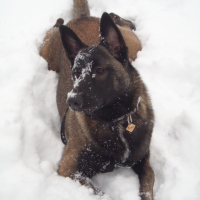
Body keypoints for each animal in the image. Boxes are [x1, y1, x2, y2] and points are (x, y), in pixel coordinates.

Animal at [39, 0, 155, 200]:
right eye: (75, 73)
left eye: (100, 70)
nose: (71, 101)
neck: (117, 122)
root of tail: (82, 18)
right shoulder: (69, 171)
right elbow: (102, 194)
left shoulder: (143, 160)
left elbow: (147, 184)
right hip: (47, 59)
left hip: (134, 48)